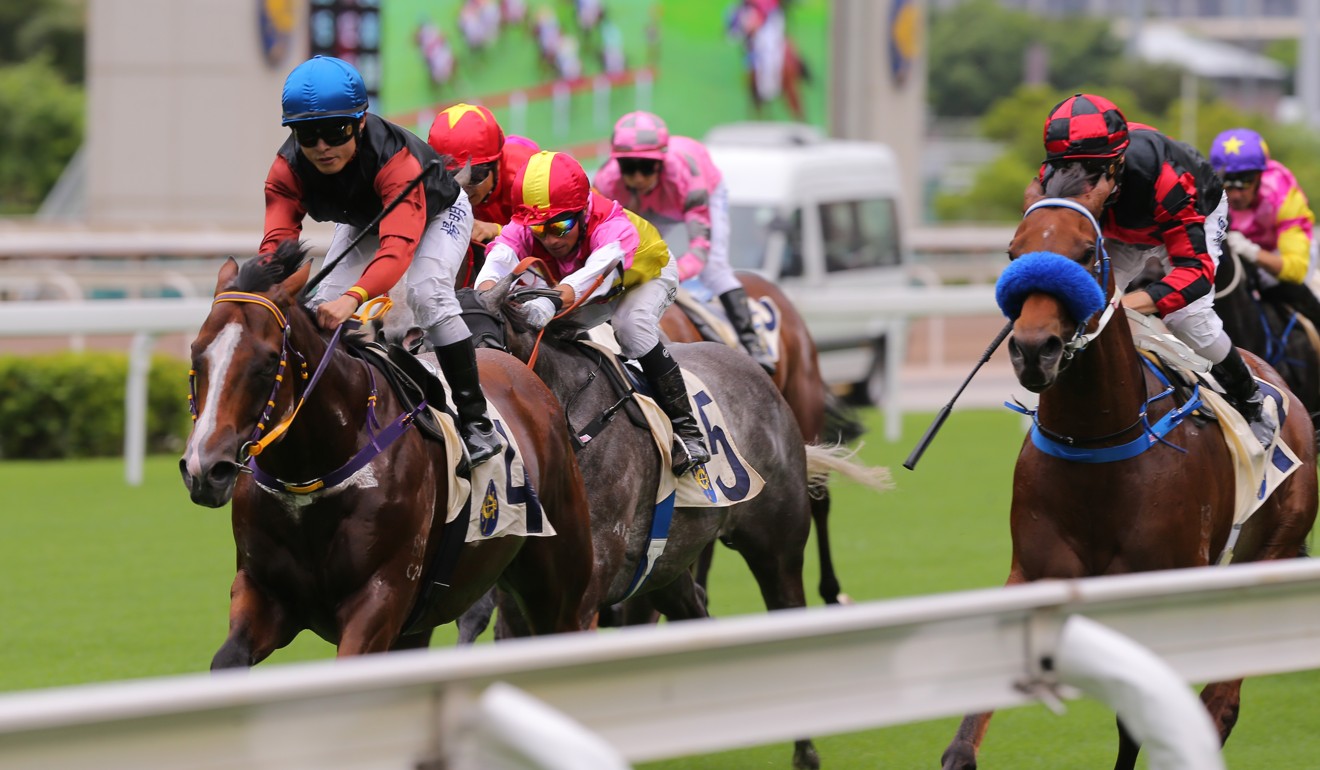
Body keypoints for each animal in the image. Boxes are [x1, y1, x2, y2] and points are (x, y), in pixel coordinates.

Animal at [179, 243, 594, 668]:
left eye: (264, 365)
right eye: (196, 355)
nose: (205, 469)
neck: (313, 472)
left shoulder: (380, 597)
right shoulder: (263, 592)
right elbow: (227, 661)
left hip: (560, 580)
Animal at [945, 174, 1314, 770]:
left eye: (1083, 253)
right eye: (1013, 253)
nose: (1033, 350)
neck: (1099, 443)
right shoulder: (1035, 573)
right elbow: (965, 739)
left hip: (1268, 554)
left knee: (1220, 706)